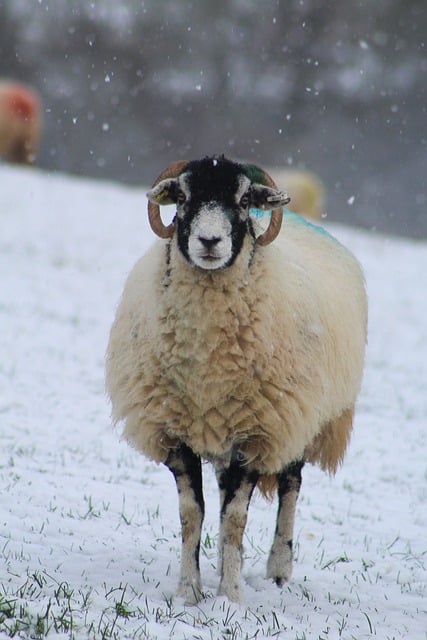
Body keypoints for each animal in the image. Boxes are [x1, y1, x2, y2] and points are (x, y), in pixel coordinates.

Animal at [106, 155, 368, 604]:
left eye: (244, 200)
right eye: (183, 197)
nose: (210, 241)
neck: (207, 360)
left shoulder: (258, 434)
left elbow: (234, 517)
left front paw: (230, 596)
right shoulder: (176, 432)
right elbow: (193, 514)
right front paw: (190, 591)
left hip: (299, 419)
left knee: (291, 486)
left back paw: (278, 568)